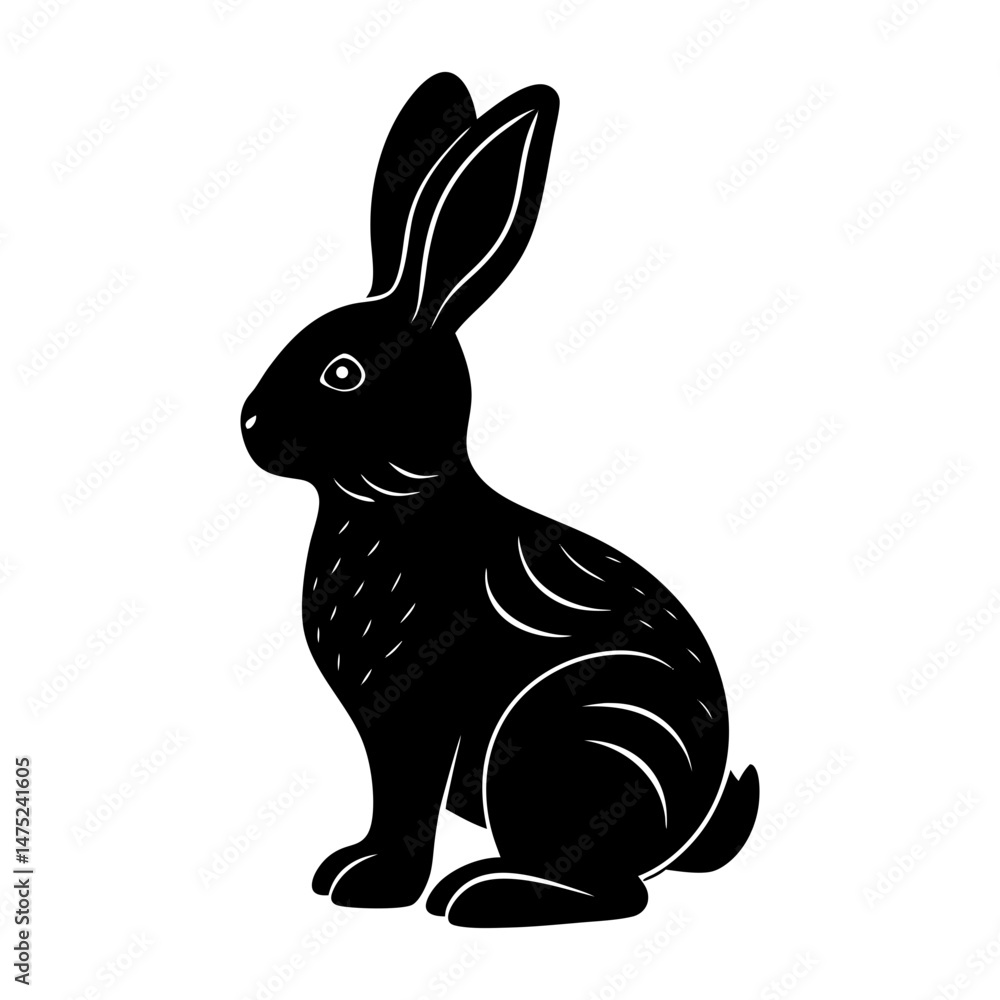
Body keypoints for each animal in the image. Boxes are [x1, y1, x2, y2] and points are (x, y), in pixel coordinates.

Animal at [241, 72, 758, 928]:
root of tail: (688, 828)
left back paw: (483, 895)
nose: (249, 425)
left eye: (342, 373)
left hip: (558, 749)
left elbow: (405, 806)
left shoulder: (415, 716)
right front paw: (346, 868)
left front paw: (373, 886)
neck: (402, 503)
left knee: (617, 892)